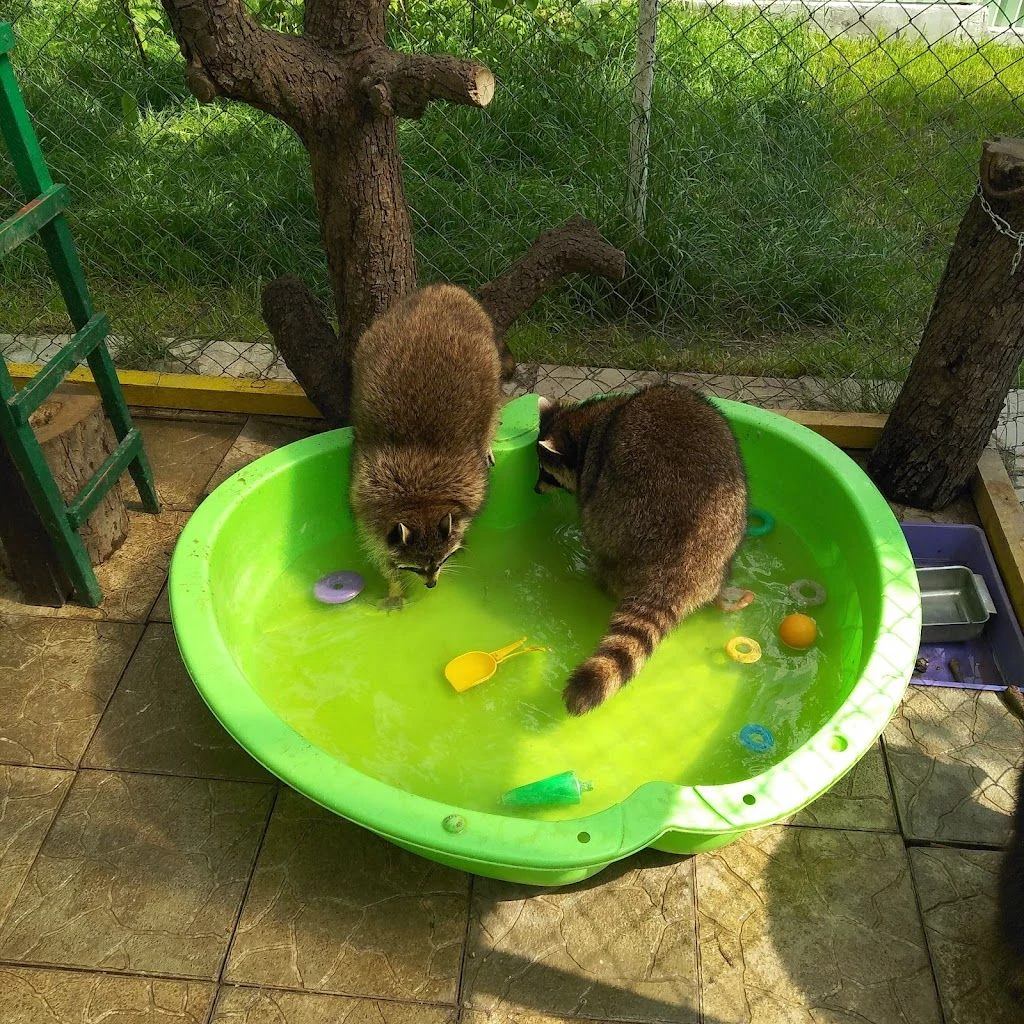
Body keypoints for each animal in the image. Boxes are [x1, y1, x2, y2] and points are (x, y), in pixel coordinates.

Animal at [349, 284, 502, 605]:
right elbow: (377, 550)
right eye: (415, 567)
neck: (420, 501)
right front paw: (394, 584)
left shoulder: (471, 489)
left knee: (492, 407)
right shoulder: (366, 499)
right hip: (374, 338)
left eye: (442, 561)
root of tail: (443, 289)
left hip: (489, 358)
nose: (431, 584)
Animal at [535, 383, 748, 715]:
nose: (534, 489)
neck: (591, 421)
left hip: (620, 515)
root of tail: (678, 568)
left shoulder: (594, 464)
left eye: (546, 473)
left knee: (599, 531)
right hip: (730, 528)